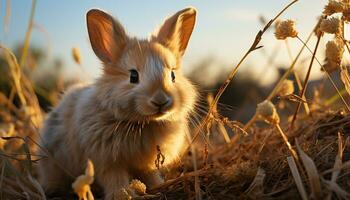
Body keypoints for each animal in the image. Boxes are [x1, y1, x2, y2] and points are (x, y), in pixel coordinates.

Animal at [39, 6, 197, 200]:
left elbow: (150, 176)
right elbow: (115, 179)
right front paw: (122, 194)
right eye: (133, 76)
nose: (160, 100)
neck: (143, 123)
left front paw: (158, 186)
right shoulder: (108, 162)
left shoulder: (146, 166)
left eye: (173, 75)